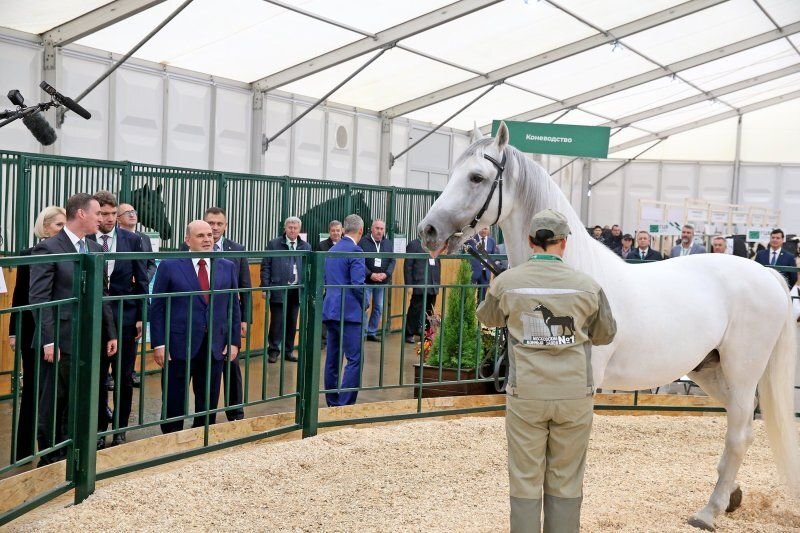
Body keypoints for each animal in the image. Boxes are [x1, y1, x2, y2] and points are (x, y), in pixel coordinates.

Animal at [418, 122, 800, 528]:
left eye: (477, 177)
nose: (428, 231)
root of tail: (767, 274)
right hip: (709, 370)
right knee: (738, 424)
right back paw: (731, 496)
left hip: (742, 372)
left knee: (740, 431)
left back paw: (708, 512)